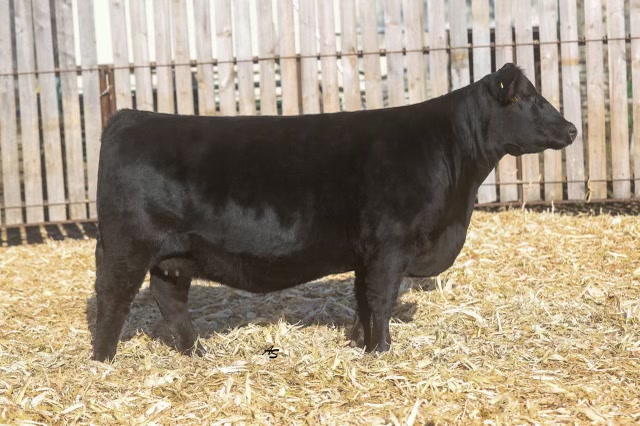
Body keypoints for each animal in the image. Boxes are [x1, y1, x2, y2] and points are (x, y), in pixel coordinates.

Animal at [92, 63, 577, 362]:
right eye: (527, 99)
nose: (571, 128)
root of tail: (129, 116)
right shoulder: (390, 245)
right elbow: (381, 299)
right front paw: (382, 352)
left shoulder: (367, 253)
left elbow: (363, 300)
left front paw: (363, 344)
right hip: (126, 247)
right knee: (113, 299)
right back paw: (104, 361)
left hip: (174, 256)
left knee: (171, 301)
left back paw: (197, 353)